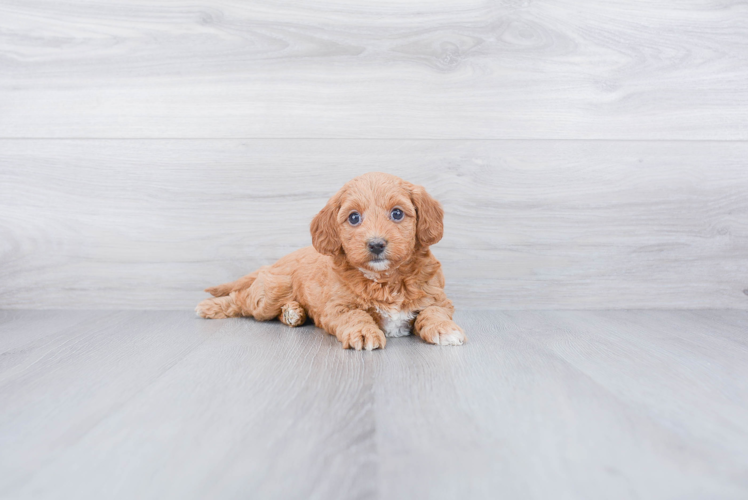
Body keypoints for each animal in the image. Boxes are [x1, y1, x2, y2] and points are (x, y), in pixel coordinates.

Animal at [197, 173, 468, 352]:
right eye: (354, 218)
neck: (385, 279)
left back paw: (293, 312)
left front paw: (445, 328)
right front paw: (363, 332)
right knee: (242, 300)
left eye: (397, 213)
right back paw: (210, 307)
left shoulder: (437, 298)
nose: (376, 244)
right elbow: (356, 315)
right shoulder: (338, 306)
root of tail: (275, 263)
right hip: (270, 294)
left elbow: (434, 311)